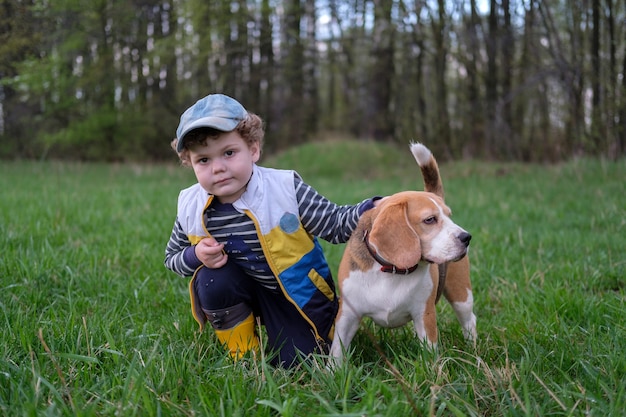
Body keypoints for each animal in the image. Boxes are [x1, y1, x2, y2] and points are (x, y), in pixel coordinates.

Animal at [330, 142, 476, 360]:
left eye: (449, 216)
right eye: (430, 219)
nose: (466, 237)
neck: (390, 269)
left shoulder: (424, 314)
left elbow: (429, 351)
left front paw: (431, 369)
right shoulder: (347, 315)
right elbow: (337, 351)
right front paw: (332, 369)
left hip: (461, 294)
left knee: (469, 320)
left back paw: (474, 351)